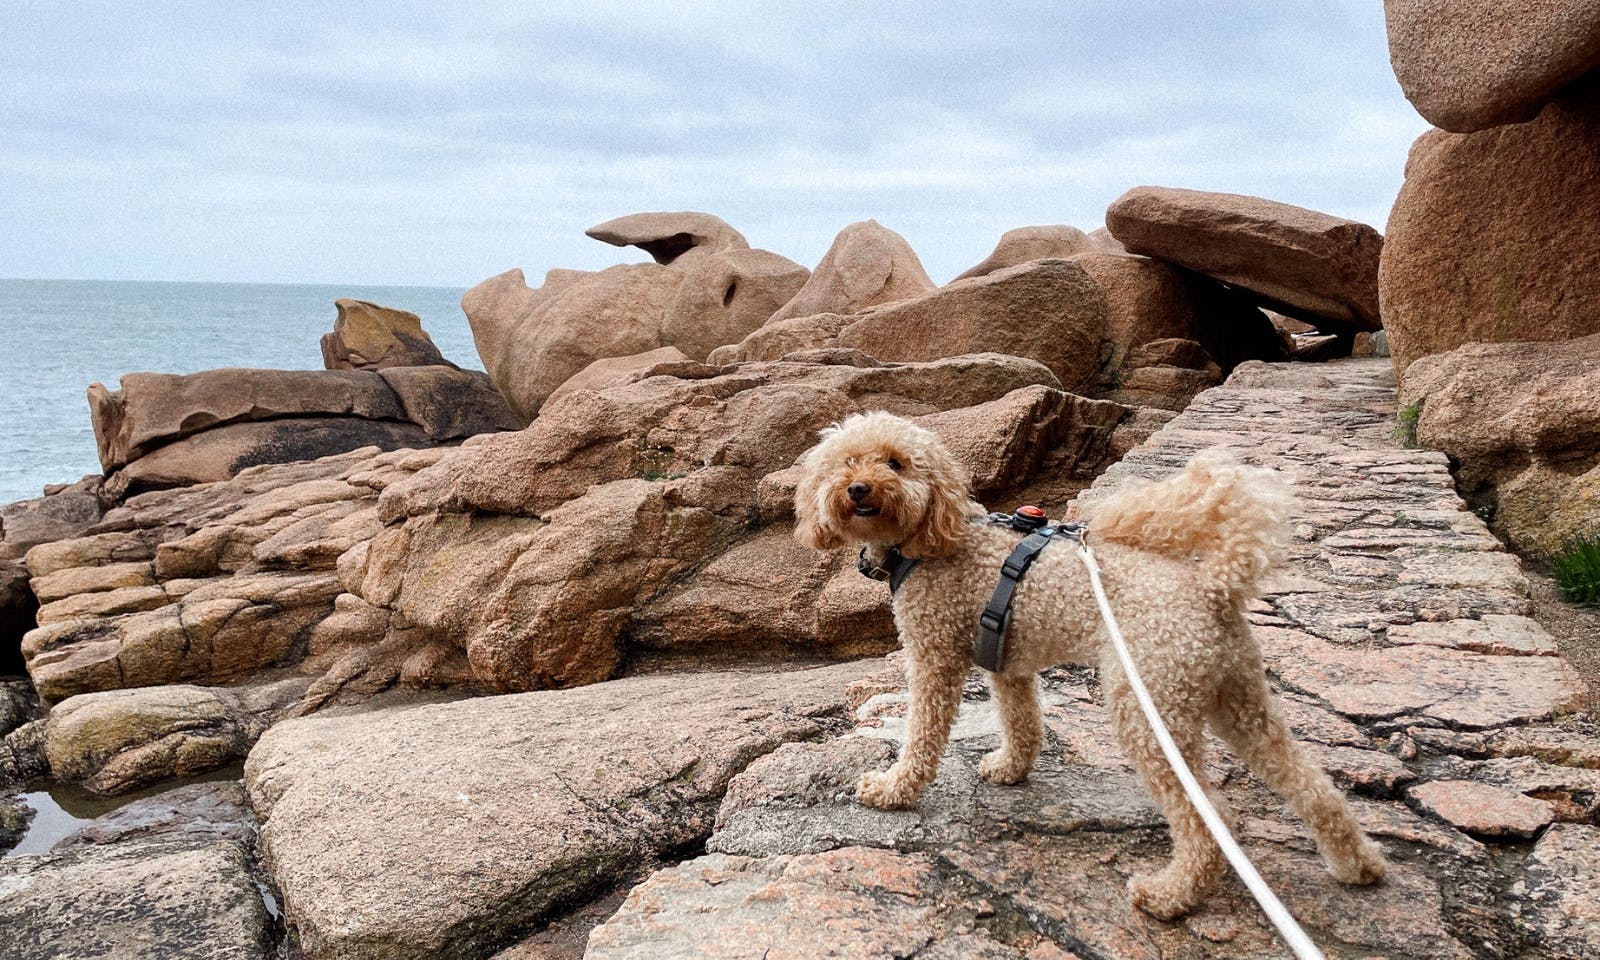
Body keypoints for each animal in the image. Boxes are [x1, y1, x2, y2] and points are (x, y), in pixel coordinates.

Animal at [793, 409, 1382, 915]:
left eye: (896, 463)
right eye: (847, 462)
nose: (858, 489)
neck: (932, 539)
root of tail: (1214, 587)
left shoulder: (934, 652)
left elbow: (921, 733)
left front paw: (894, 789)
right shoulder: (1007, 660)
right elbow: (1022, 721)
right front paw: (1010, 769)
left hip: (1149, 705)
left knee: (1210, 815)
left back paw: (1170, 895)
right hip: (1238, 696)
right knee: (1310, 783)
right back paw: (1357, 865)